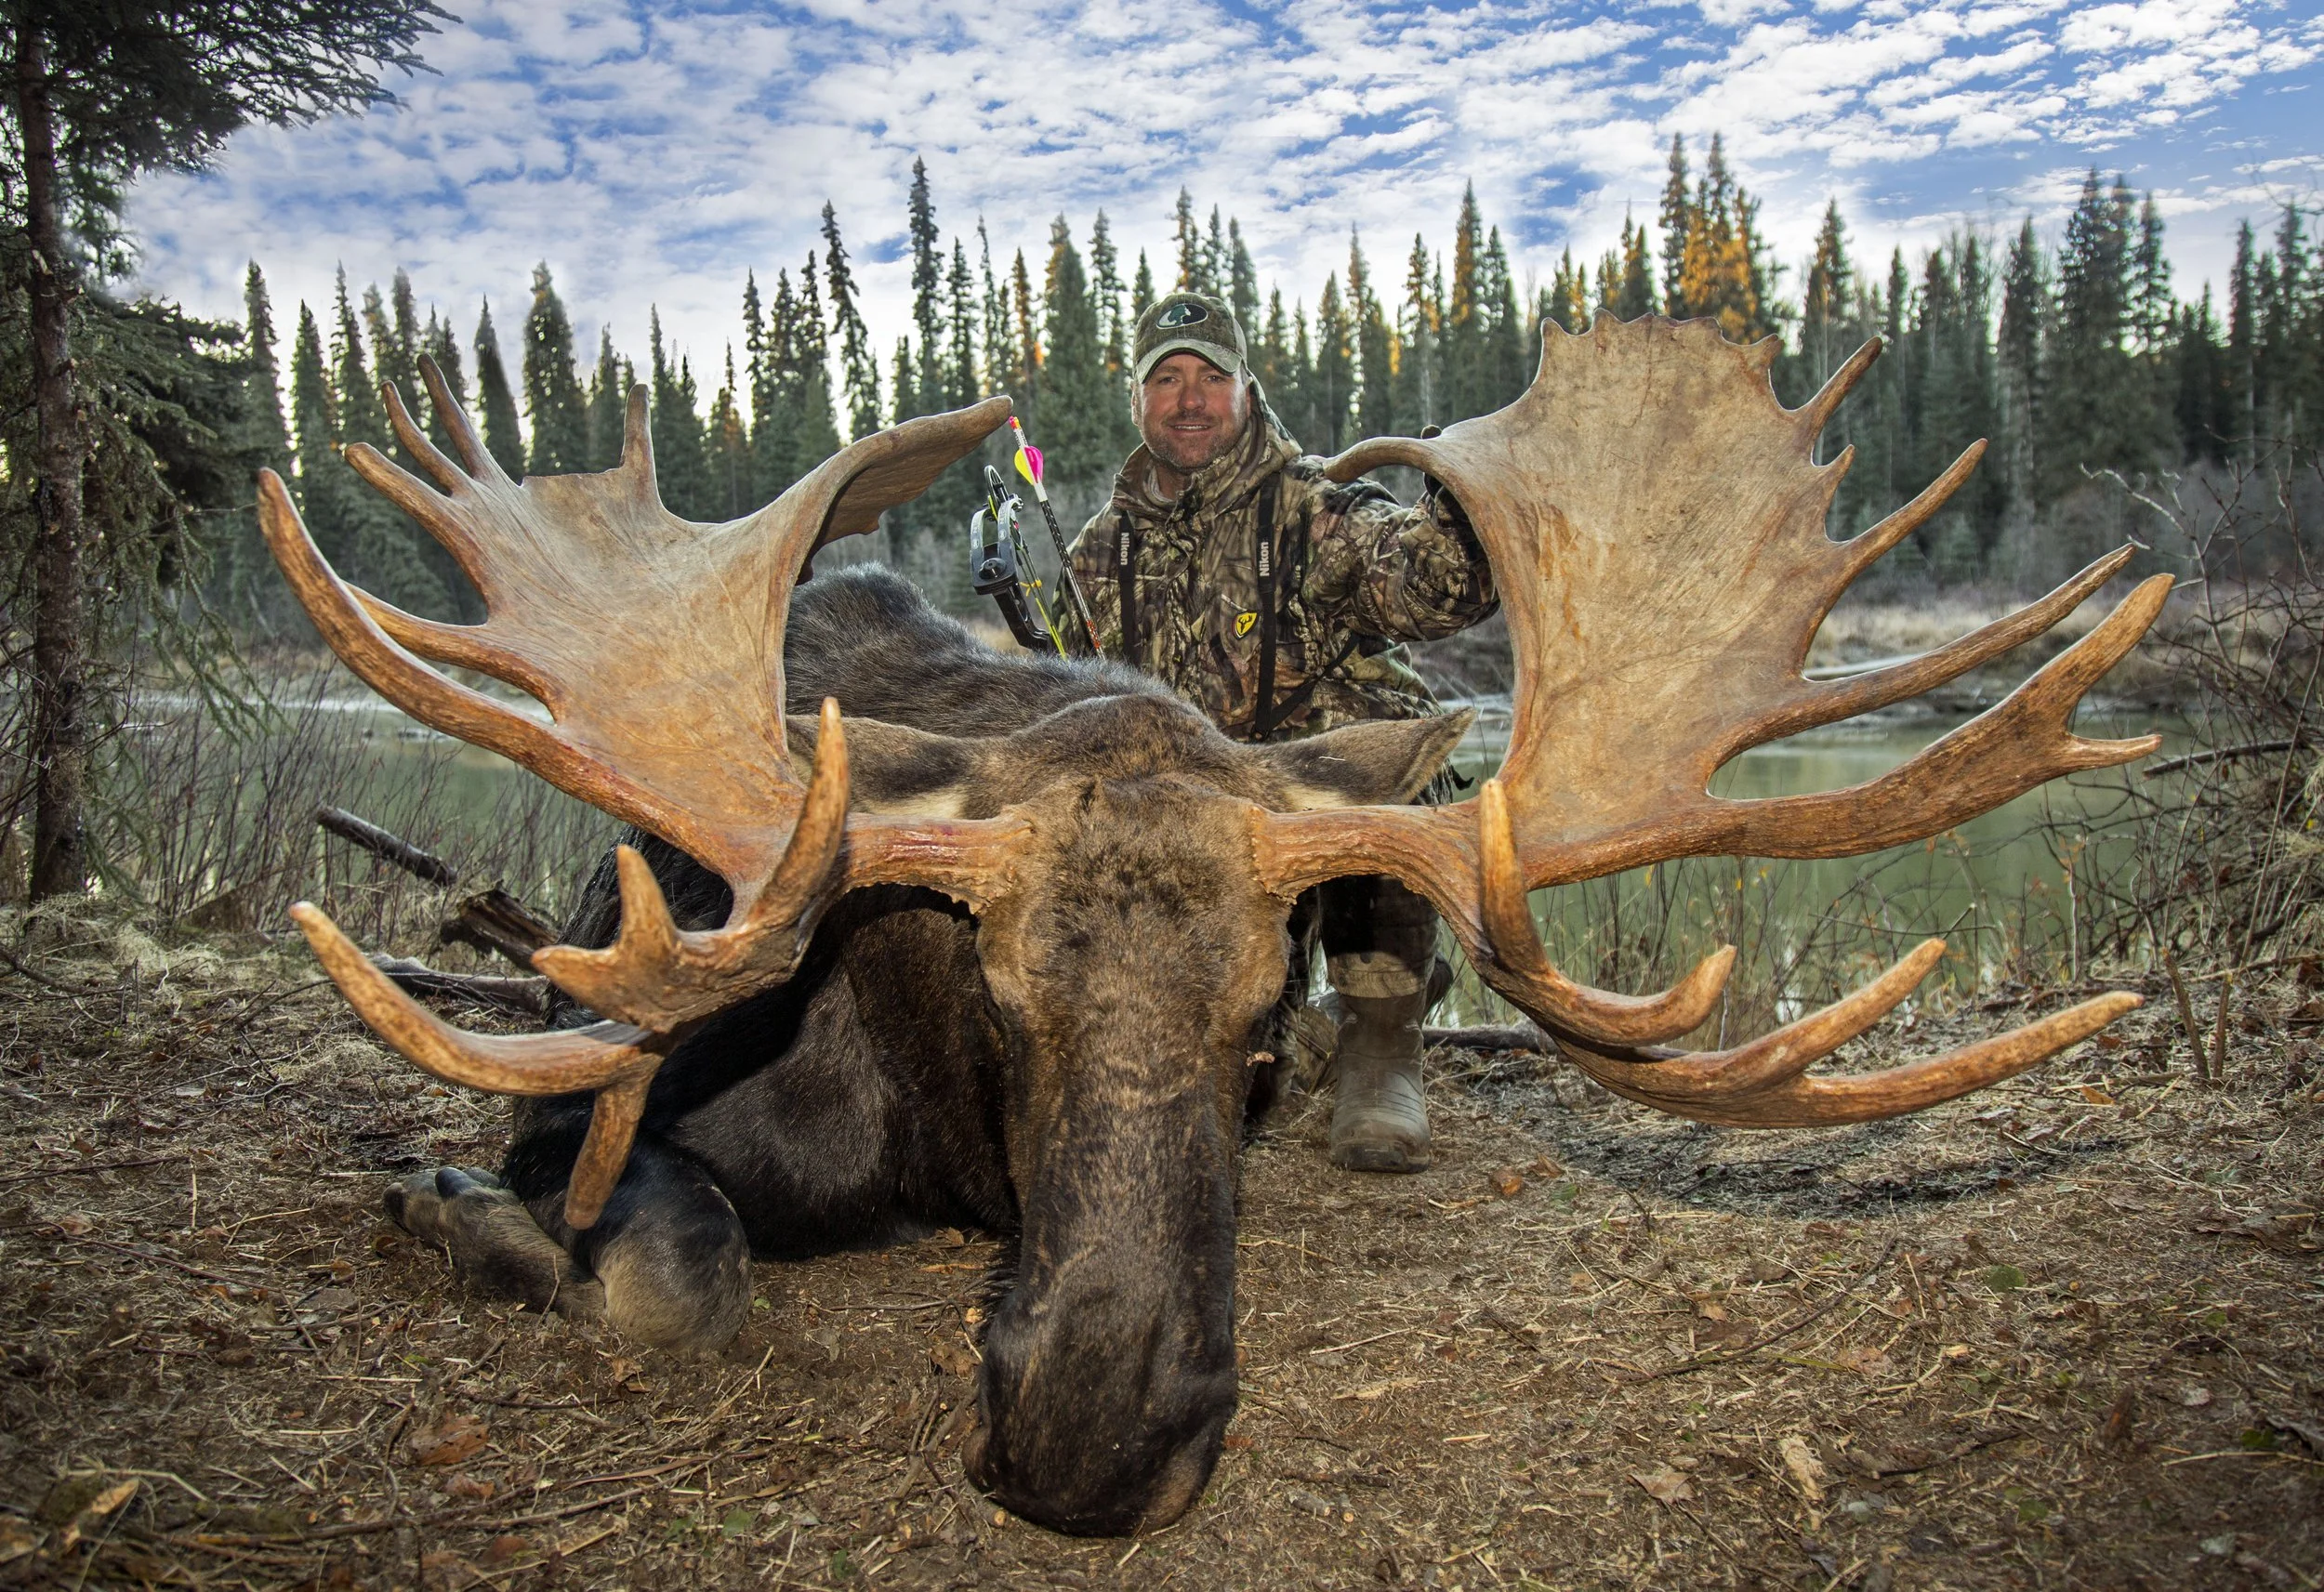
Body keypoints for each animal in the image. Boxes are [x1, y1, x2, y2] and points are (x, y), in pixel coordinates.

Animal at [257, 314, 2165, 1537]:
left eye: (1263, 1028)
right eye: (999, 1002)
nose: (1092, 1444)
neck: (935, 1136)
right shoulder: (607, 1085)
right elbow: (674, 1276)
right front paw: (459, 1211)